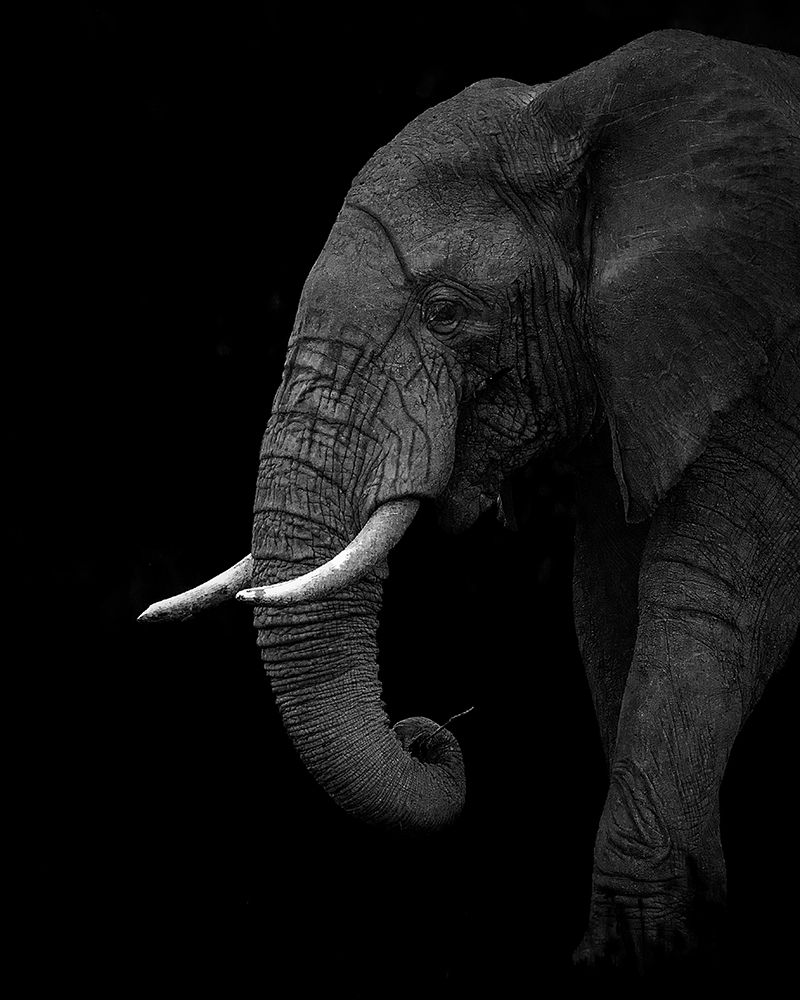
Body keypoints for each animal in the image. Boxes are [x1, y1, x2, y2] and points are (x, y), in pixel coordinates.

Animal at [139, 30, 800, 972]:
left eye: (446, 313)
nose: (429, 731)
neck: (571, 109)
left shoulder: (765, 343)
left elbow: (716, 594)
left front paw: (643, 945)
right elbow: (608, 605)